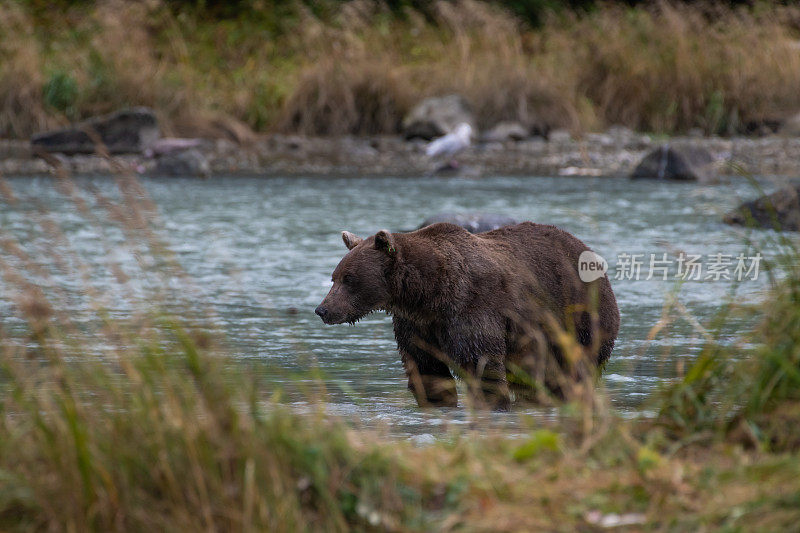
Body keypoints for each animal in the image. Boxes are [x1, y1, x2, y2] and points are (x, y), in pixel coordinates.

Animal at [316, 220, 620, 408]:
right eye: (334, 277)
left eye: (349, 279)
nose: (323, 310)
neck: (428, 293)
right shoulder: (417, 323)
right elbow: (425, 367)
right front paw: (437, 402)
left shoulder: (472, 308)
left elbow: (480, 364)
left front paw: (493, 404)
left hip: (578, 315)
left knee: (574, 370)